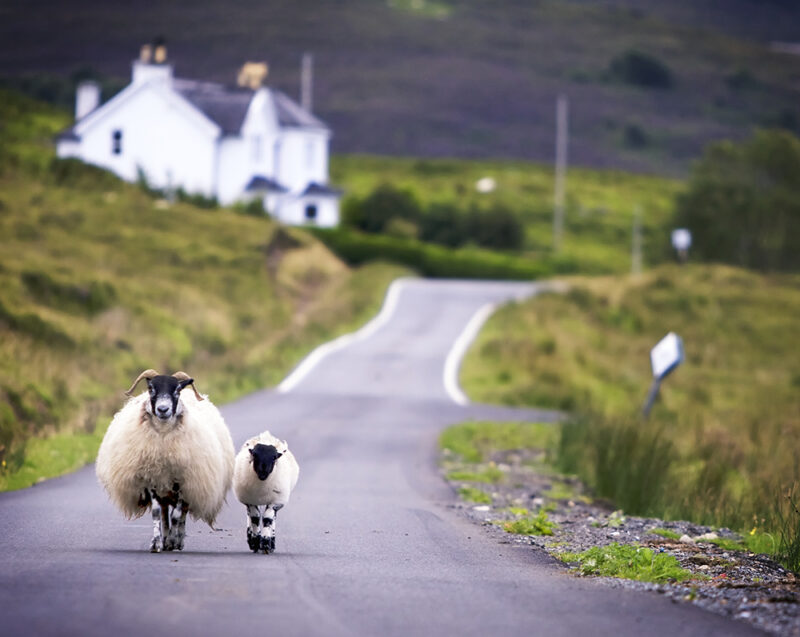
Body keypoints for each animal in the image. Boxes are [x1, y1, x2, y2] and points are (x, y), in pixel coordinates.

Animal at [96, 369, 235, 553]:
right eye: (150, 388)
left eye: (177, 390)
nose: (163, 409)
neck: (163, 440)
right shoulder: (152, 478)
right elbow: (157, 513)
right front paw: (156, 543)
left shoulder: (183, 480)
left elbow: (176, 515)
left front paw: (173, 541)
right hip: (164, 487)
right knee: (163, 512)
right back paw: (166, 538)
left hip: (190, 484)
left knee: (181, 513)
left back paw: (177, 540)